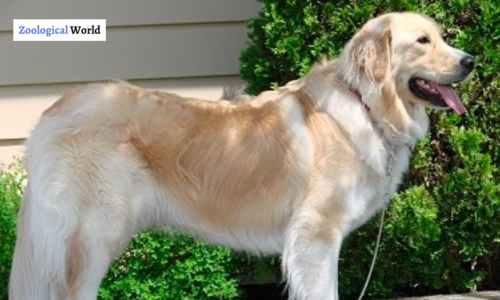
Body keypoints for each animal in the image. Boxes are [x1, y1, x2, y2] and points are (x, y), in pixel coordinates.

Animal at [9, 11, 474, 300]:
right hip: (88, 241)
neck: (366, 103)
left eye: (443, 37)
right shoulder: (315, 237)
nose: (471, 60)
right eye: (423, 41)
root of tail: (53, 111)